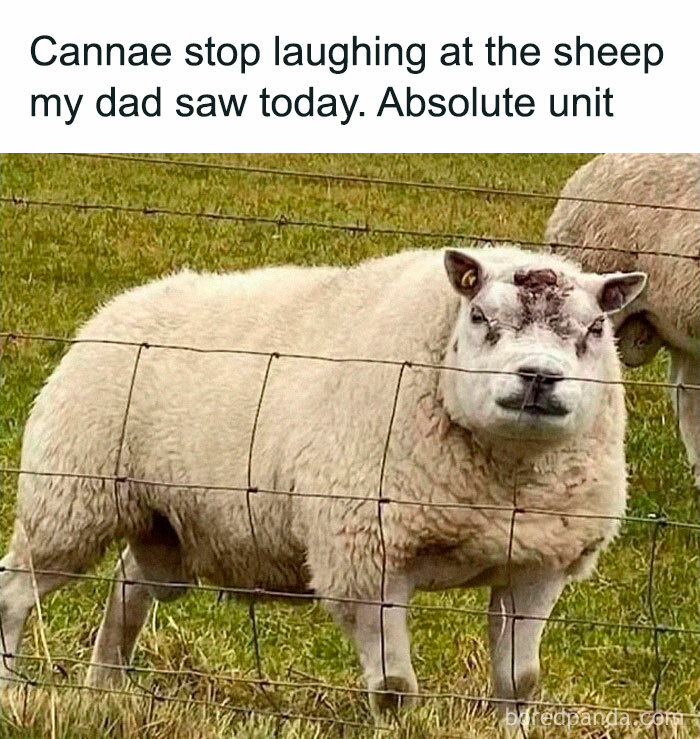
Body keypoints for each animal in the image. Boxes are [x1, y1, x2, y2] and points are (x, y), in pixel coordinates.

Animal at [0, 246, 646, 719]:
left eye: (594, 329)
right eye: (482, 318)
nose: (539, 377)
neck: (504, 481)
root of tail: (120, 305)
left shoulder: (538, 563)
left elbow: (520, 682)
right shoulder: (365, 558)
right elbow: (393, 688)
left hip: (165, 525)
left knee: (128, 586)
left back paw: (105, 686)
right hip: (69, 497)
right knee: (15, 589)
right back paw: (13, 683)